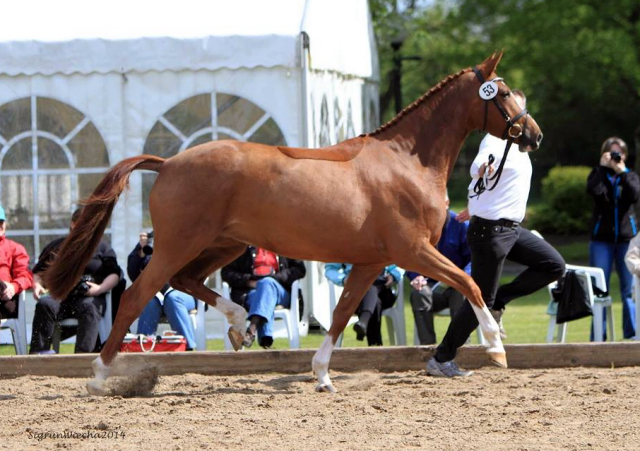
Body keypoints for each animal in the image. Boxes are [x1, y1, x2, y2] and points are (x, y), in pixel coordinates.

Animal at [45, 51, 540, 394]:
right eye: (503, 92)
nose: (533, 134)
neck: (405, 161)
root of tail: (167, 164)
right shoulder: (413, 250)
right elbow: (470, 283)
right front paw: (496, 346)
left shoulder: (370, 262)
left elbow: (341, 314)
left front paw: (322, 376)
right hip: (177, 245)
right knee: (136, 298)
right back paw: (98, 376)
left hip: (222, 244)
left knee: (188, 281)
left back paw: (240, 323)